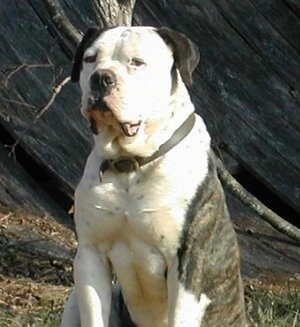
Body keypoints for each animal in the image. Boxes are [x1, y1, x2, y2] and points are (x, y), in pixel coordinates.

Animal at [60, 26, 246, 327]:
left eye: (137, 62)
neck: (130, 163)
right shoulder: (90, 255)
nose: (101, 77)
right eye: (90, 58)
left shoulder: (186, 266)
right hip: (76, 297)